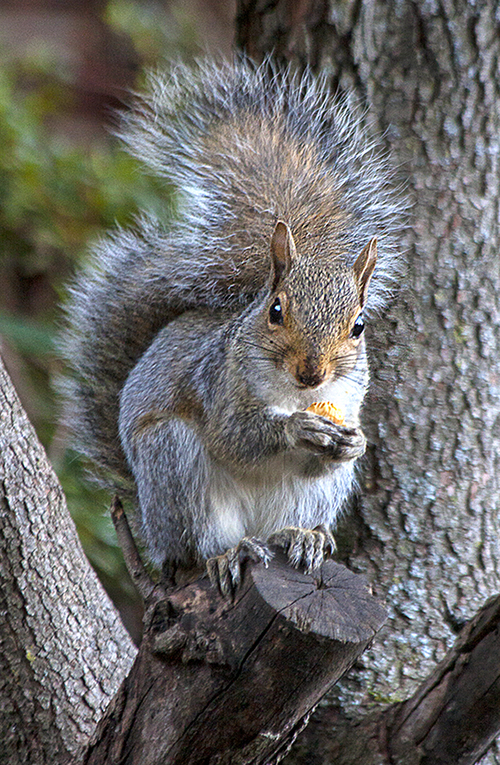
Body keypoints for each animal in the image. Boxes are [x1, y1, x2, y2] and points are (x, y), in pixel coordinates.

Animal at [61, 58, 404, 595]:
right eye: (276, 311)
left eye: (359, 326)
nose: (312, 372)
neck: (293, 394)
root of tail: (153, 533)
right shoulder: (218, 383)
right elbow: (235, 437)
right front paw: (295, 429)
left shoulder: (348, 399)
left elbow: (330, 447)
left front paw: (356, 443)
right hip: (174, 464)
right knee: (202, 542)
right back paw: (230, 553)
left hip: (314, 494)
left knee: (292, 517)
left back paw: (302, 536)